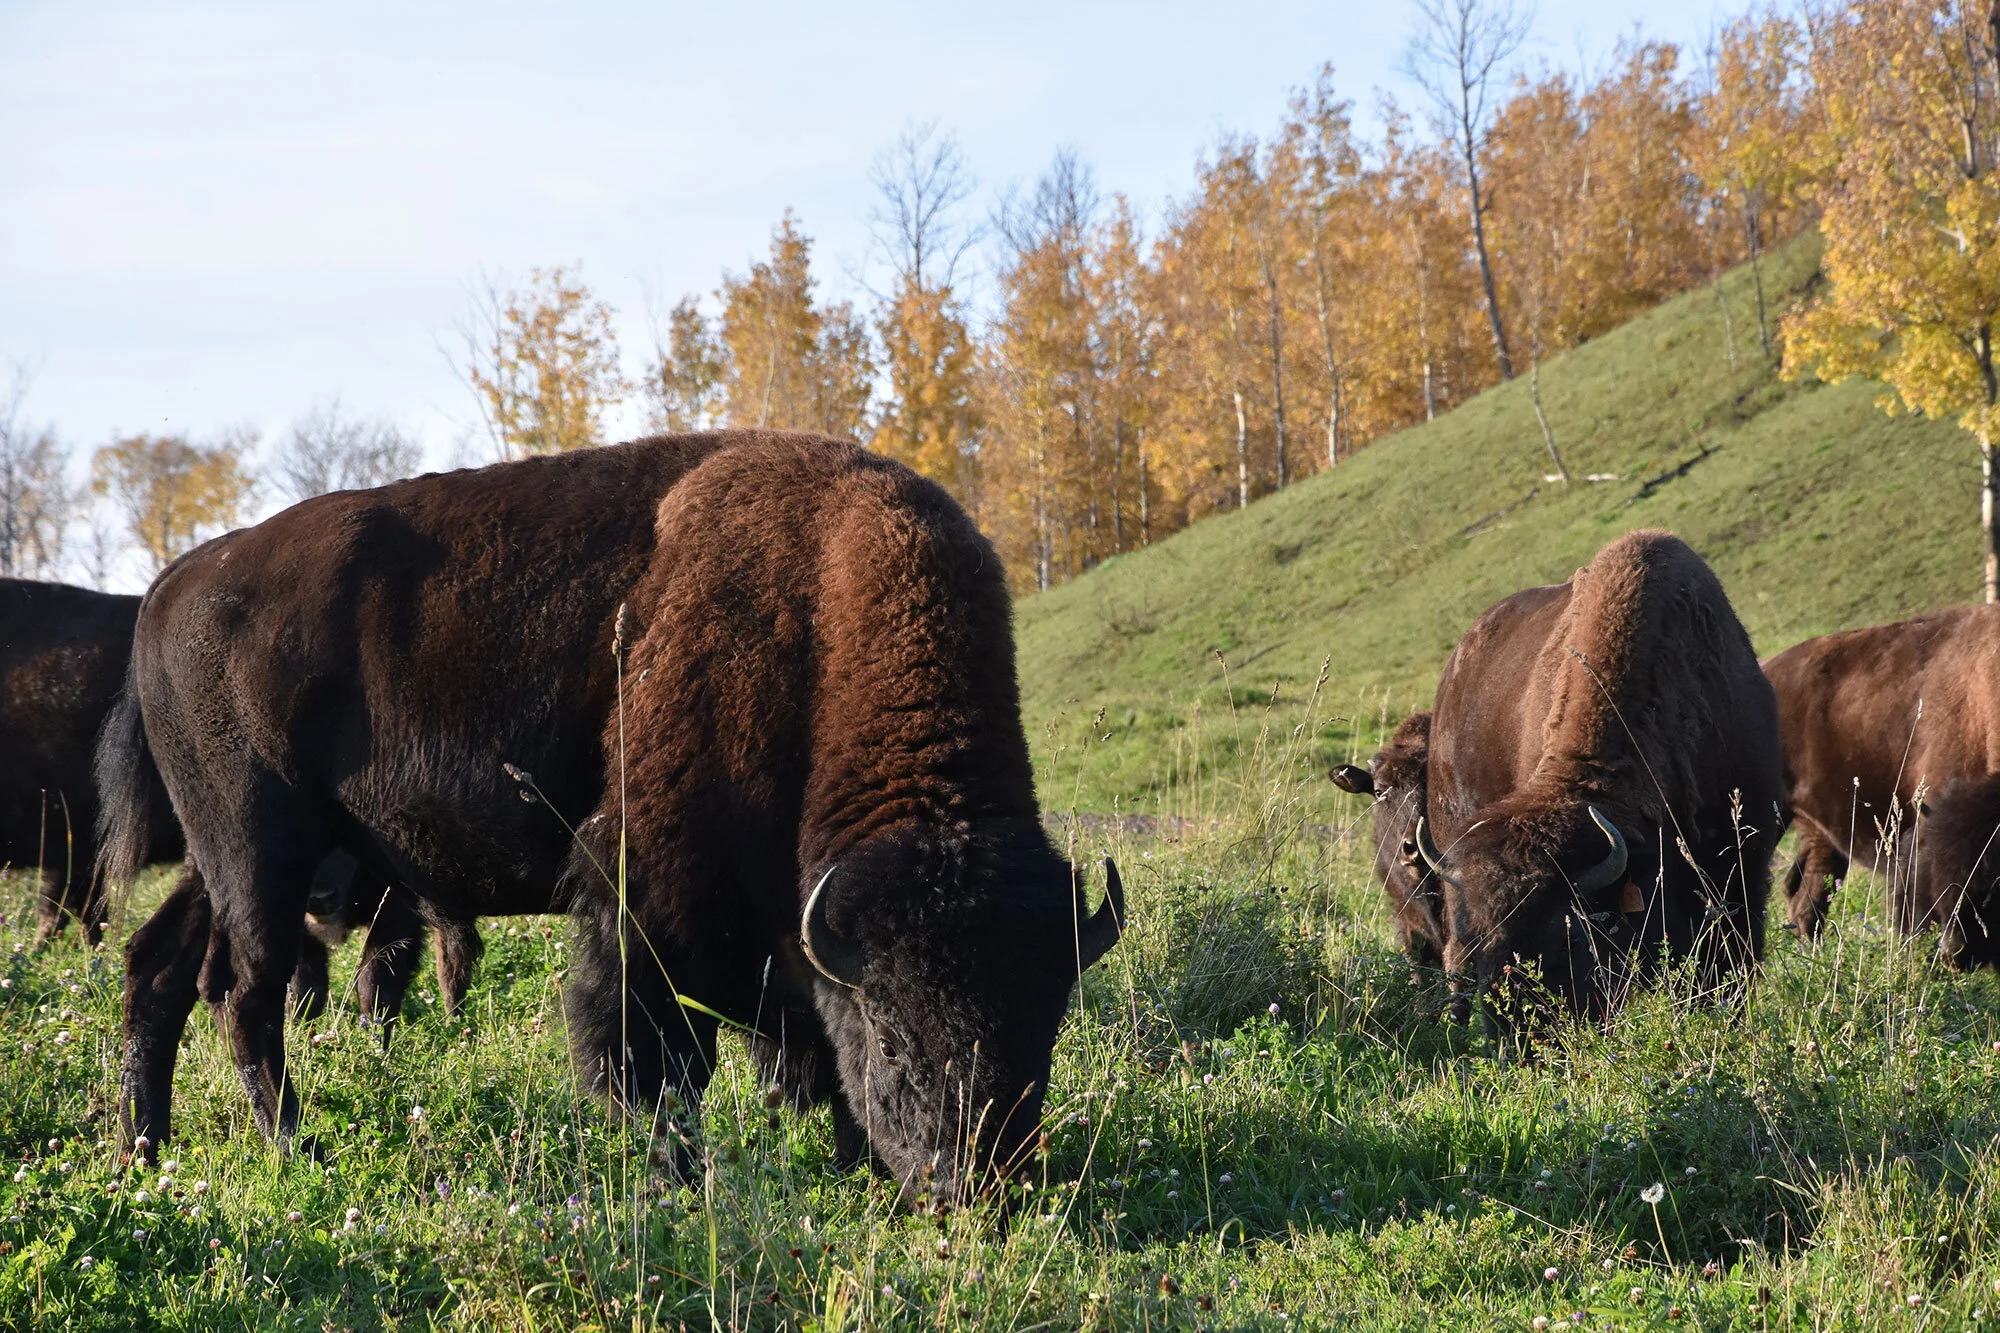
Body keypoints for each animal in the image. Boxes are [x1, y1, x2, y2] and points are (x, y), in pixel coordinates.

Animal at [102, 431, 1124, 1207]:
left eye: (1045, 1027)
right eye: (896, 1037)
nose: (975, 1187)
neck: (816, 616)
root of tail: (169, 588)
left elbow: (792, 1046)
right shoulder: (650, 901)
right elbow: (653, 1056)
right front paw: (684, 1176)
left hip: (223, 862)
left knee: (160, 970)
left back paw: (146, 1149)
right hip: (255, 852)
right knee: (244, 993)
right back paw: (293, 1148)